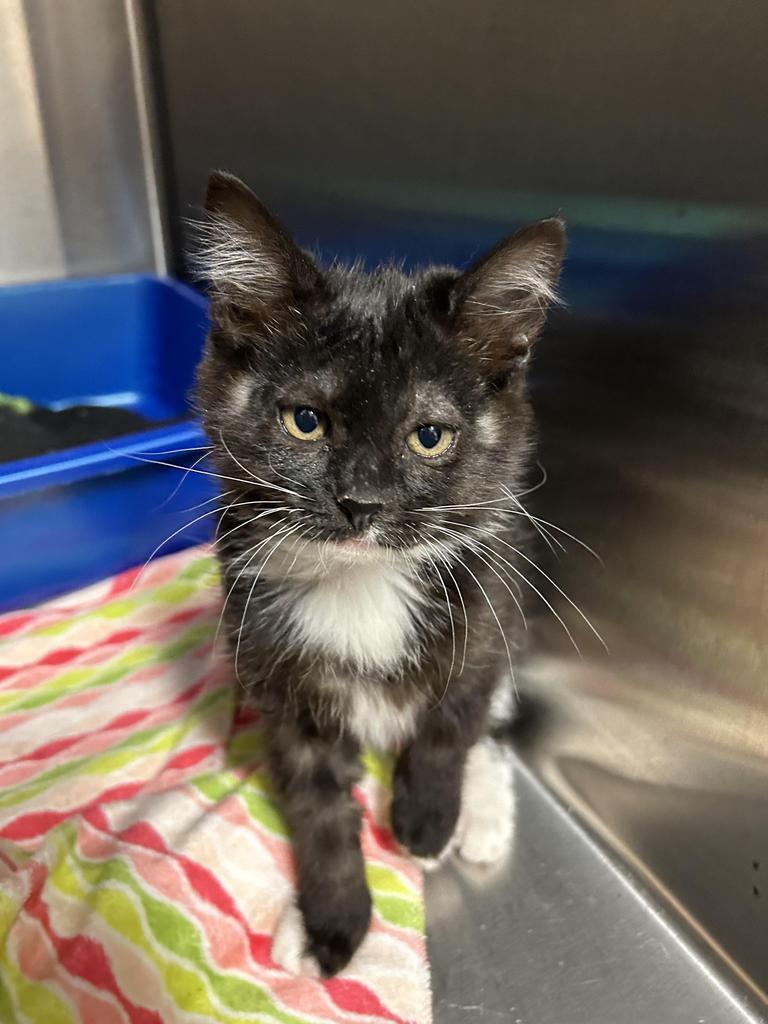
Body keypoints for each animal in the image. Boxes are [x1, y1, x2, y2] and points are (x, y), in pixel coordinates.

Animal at [192, 174, 565, 974]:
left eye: (429, 436)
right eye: (305, 421)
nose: (361, 502)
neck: (360, 582)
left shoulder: (488, 607)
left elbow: (454, 720)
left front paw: (427, 818)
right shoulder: (278, 676)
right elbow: (317, 803)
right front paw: (331, 923)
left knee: (494, 720)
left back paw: (482, 816)